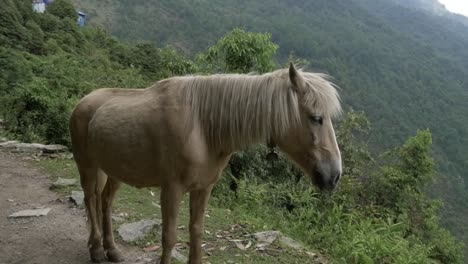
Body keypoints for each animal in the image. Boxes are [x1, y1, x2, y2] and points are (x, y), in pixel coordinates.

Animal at [68, 64, 340, 264]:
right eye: (316, 118)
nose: (334, 175)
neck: (202, 127)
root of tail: (84, 101)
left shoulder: (203, 188)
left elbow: (196, 231)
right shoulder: (172, 190)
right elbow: (169, 237)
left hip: (114, 171)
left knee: (105, 203)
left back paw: (111, 249)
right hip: (87, 165)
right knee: (90, 199)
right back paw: (96, 249)